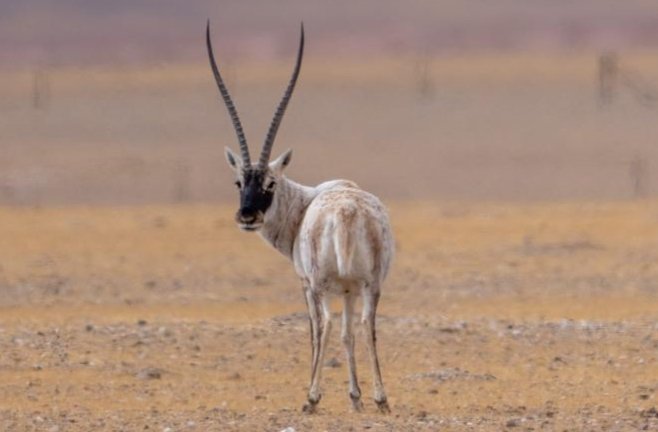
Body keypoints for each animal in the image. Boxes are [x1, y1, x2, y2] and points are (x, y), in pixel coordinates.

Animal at [206, 21, 394, 414]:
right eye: (239, 181)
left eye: (270, 182)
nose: (247, 216)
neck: (303, 203)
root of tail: (346, 212)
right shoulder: (349, 290)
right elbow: (349, 334)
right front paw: (356, 398)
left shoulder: (305, 284)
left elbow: (315, 332)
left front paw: (316, 394)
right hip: (371, 285)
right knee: (366, 325)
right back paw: (382, 400)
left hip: (320, 283)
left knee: (323, 325)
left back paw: (311, 398)